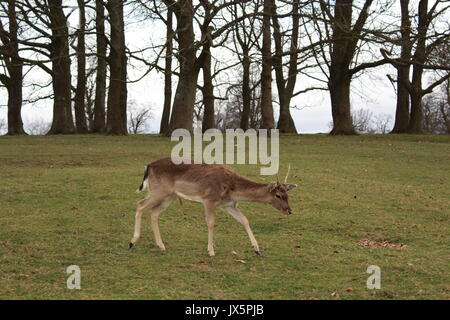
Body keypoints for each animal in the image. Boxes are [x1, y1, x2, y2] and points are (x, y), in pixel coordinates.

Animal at [128, 158, 298, 258]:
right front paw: (211, 251)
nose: (289, 210)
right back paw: (133, 241)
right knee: (140, 204)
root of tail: (148, 166)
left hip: (169, 196)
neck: (232, 189)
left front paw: (257, 248)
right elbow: (211, 223)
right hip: (159, 191)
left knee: (153, 212)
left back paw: (161, 245)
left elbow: (245, 220)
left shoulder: (228, 205)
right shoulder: (208, 200)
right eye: (278, 195)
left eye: (287, 195)